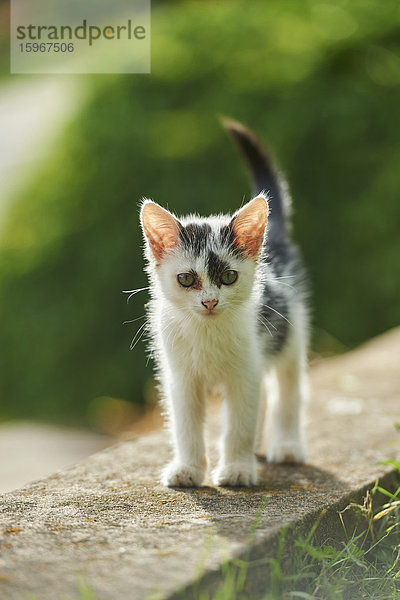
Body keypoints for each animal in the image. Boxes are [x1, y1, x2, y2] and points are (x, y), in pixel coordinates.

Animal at [139, 119, 308, 486]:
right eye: (186, 279)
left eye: (229, 277)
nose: (210, 302)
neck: (207, 331)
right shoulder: (181, 376)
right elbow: (186, 424)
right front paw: (188, 469)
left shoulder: (245, 368)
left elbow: (240, 422)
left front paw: (236, 469)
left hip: (290, 328)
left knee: (287, 390)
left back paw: (287, 445)